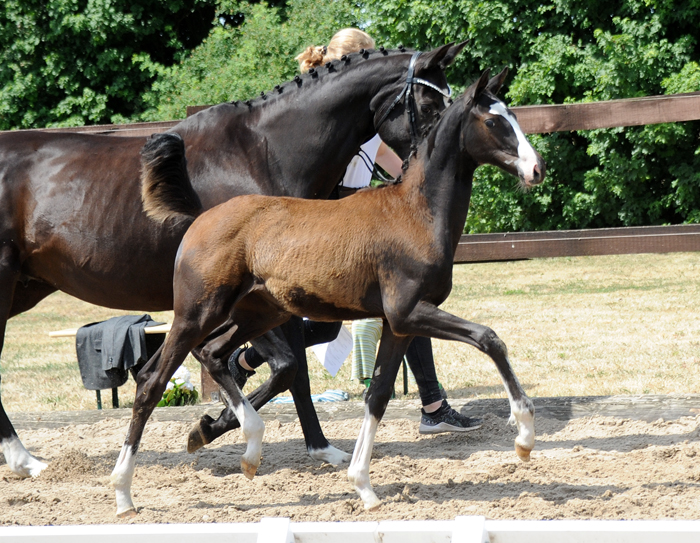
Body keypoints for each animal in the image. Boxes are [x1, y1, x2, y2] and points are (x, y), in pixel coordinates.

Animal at [1, 44, 470, 482]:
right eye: (432, 104)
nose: (434, 166)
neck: (264, 151)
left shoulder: (280, 297)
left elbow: (292, 370)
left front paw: (311, 446)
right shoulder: (249, 296)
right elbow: (285, 367)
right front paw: (214, 427)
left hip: (25, 288)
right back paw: (26, 460)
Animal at [115, 69, 544, 516]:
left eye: (513, 115)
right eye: (493, 122)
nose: (537, 169)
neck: (415, 213)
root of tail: (201, 217)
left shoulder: (399, 324)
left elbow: (377, 395)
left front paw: (364, 487)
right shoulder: (410, 311)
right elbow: (489, 338)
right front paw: (524, 436)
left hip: (259, 313)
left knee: (214, 353)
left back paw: (246, 450)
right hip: (197, 313)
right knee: (151, 382)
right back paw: (124, 493)